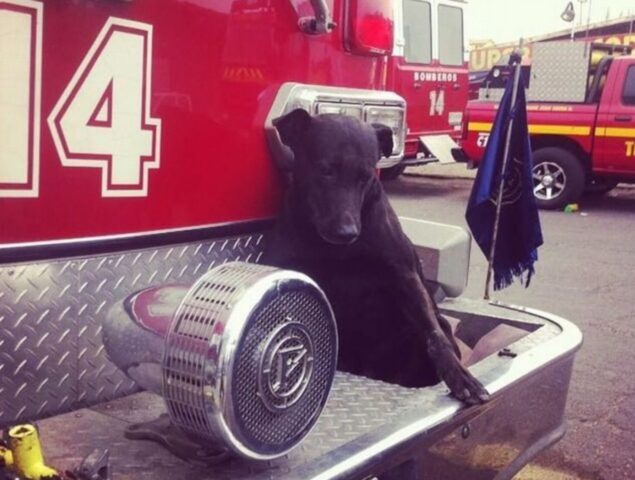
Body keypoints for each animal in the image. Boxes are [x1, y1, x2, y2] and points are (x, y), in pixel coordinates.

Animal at [260, 109, 490, 404]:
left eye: (366, 176)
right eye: (325, 171)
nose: (347, 232)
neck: (335, 249)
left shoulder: (405, 276)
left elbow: (434, 335)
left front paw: (460, 376)